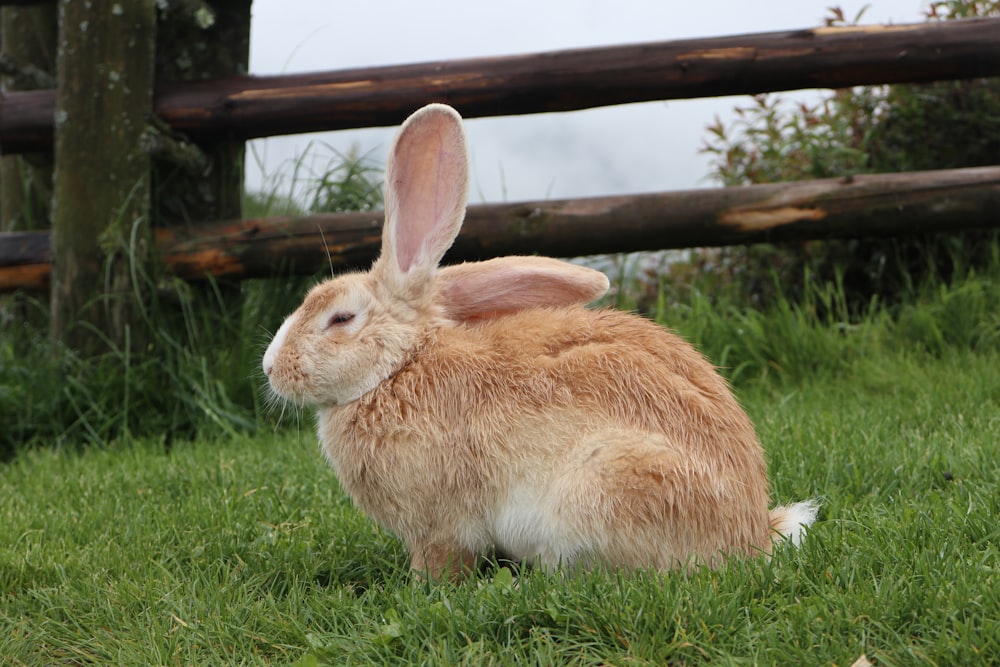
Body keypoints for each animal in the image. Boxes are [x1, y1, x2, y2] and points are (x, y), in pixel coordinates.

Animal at [262, 103, 816, 580]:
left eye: (340, 318)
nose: (271, 368)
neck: (400, 366)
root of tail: (749, 535)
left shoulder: (440, 527)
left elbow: (440, 563)